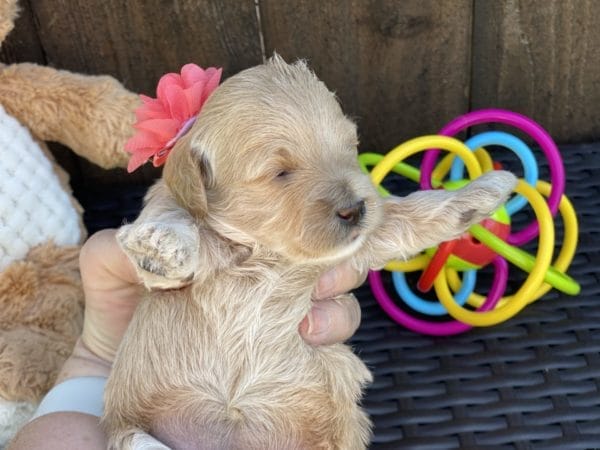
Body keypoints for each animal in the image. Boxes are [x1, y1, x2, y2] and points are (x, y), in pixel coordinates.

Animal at [104, 57, 516, 450]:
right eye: (280, 172)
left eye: (350, 147)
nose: (356, 209)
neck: (267, 253)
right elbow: (173, 214)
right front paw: (161, 244)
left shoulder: (360, 242)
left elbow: (412, 213)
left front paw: (485, 190)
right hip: (131, 436)